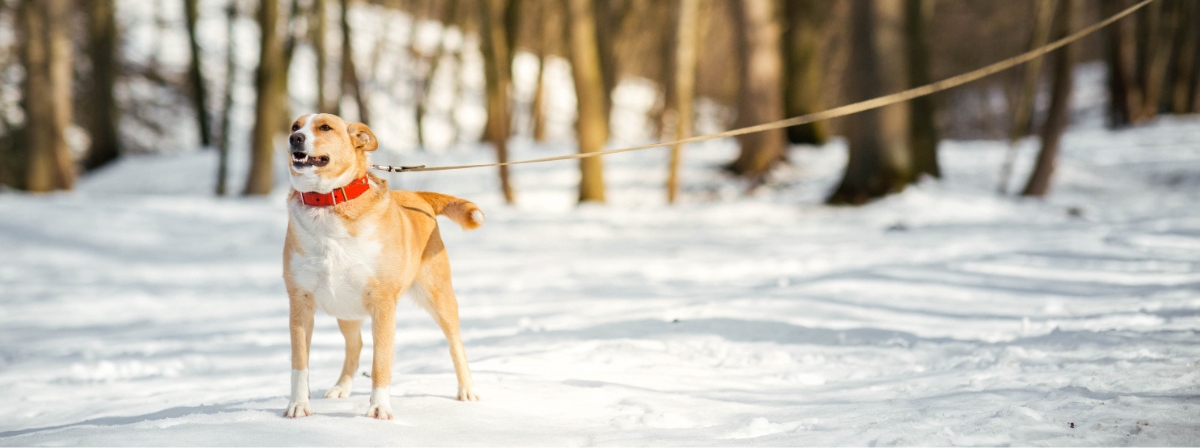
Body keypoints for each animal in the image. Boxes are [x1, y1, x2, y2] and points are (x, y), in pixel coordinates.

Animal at [280, 112, 482, 417]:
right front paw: (298, 406)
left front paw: (379, 408)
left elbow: (380, 363)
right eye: (295, 126)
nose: (295, 139)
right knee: (355, 345)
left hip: (439, 297)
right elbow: (299, 364)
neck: (328, 203)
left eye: (325, 127)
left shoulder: (383, 303)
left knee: (455, 342)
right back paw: (341, 387)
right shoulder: (299, 301)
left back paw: (467, 389)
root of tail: (418, 197)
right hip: (345, 309)